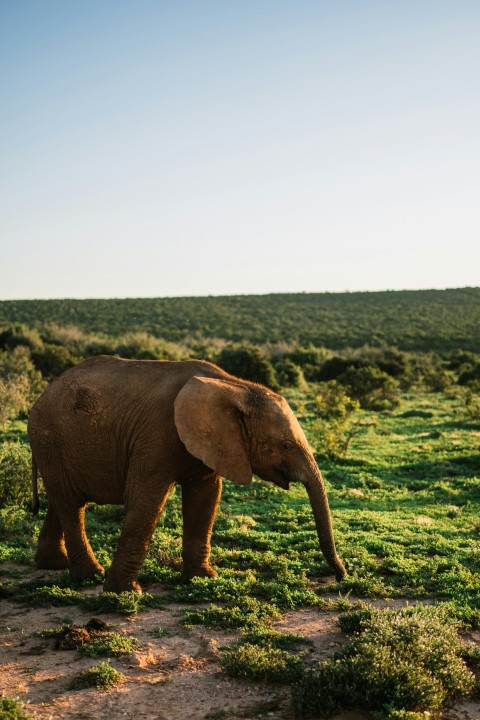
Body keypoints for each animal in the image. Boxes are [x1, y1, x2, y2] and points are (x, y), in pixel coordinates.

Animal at [28, 355, 346, 593]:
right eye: (286, 445)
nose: (341, 576)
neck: (237, 387)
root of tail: (39, 397)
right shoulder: (157, 434)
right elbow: (146, 498)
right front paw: (125, 592)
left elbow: (205, 496)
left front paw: (202, 579)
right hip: (49, 438)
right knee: (71, 504)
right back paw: (91, 575)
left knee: (63, 500)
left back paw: (54, 564)